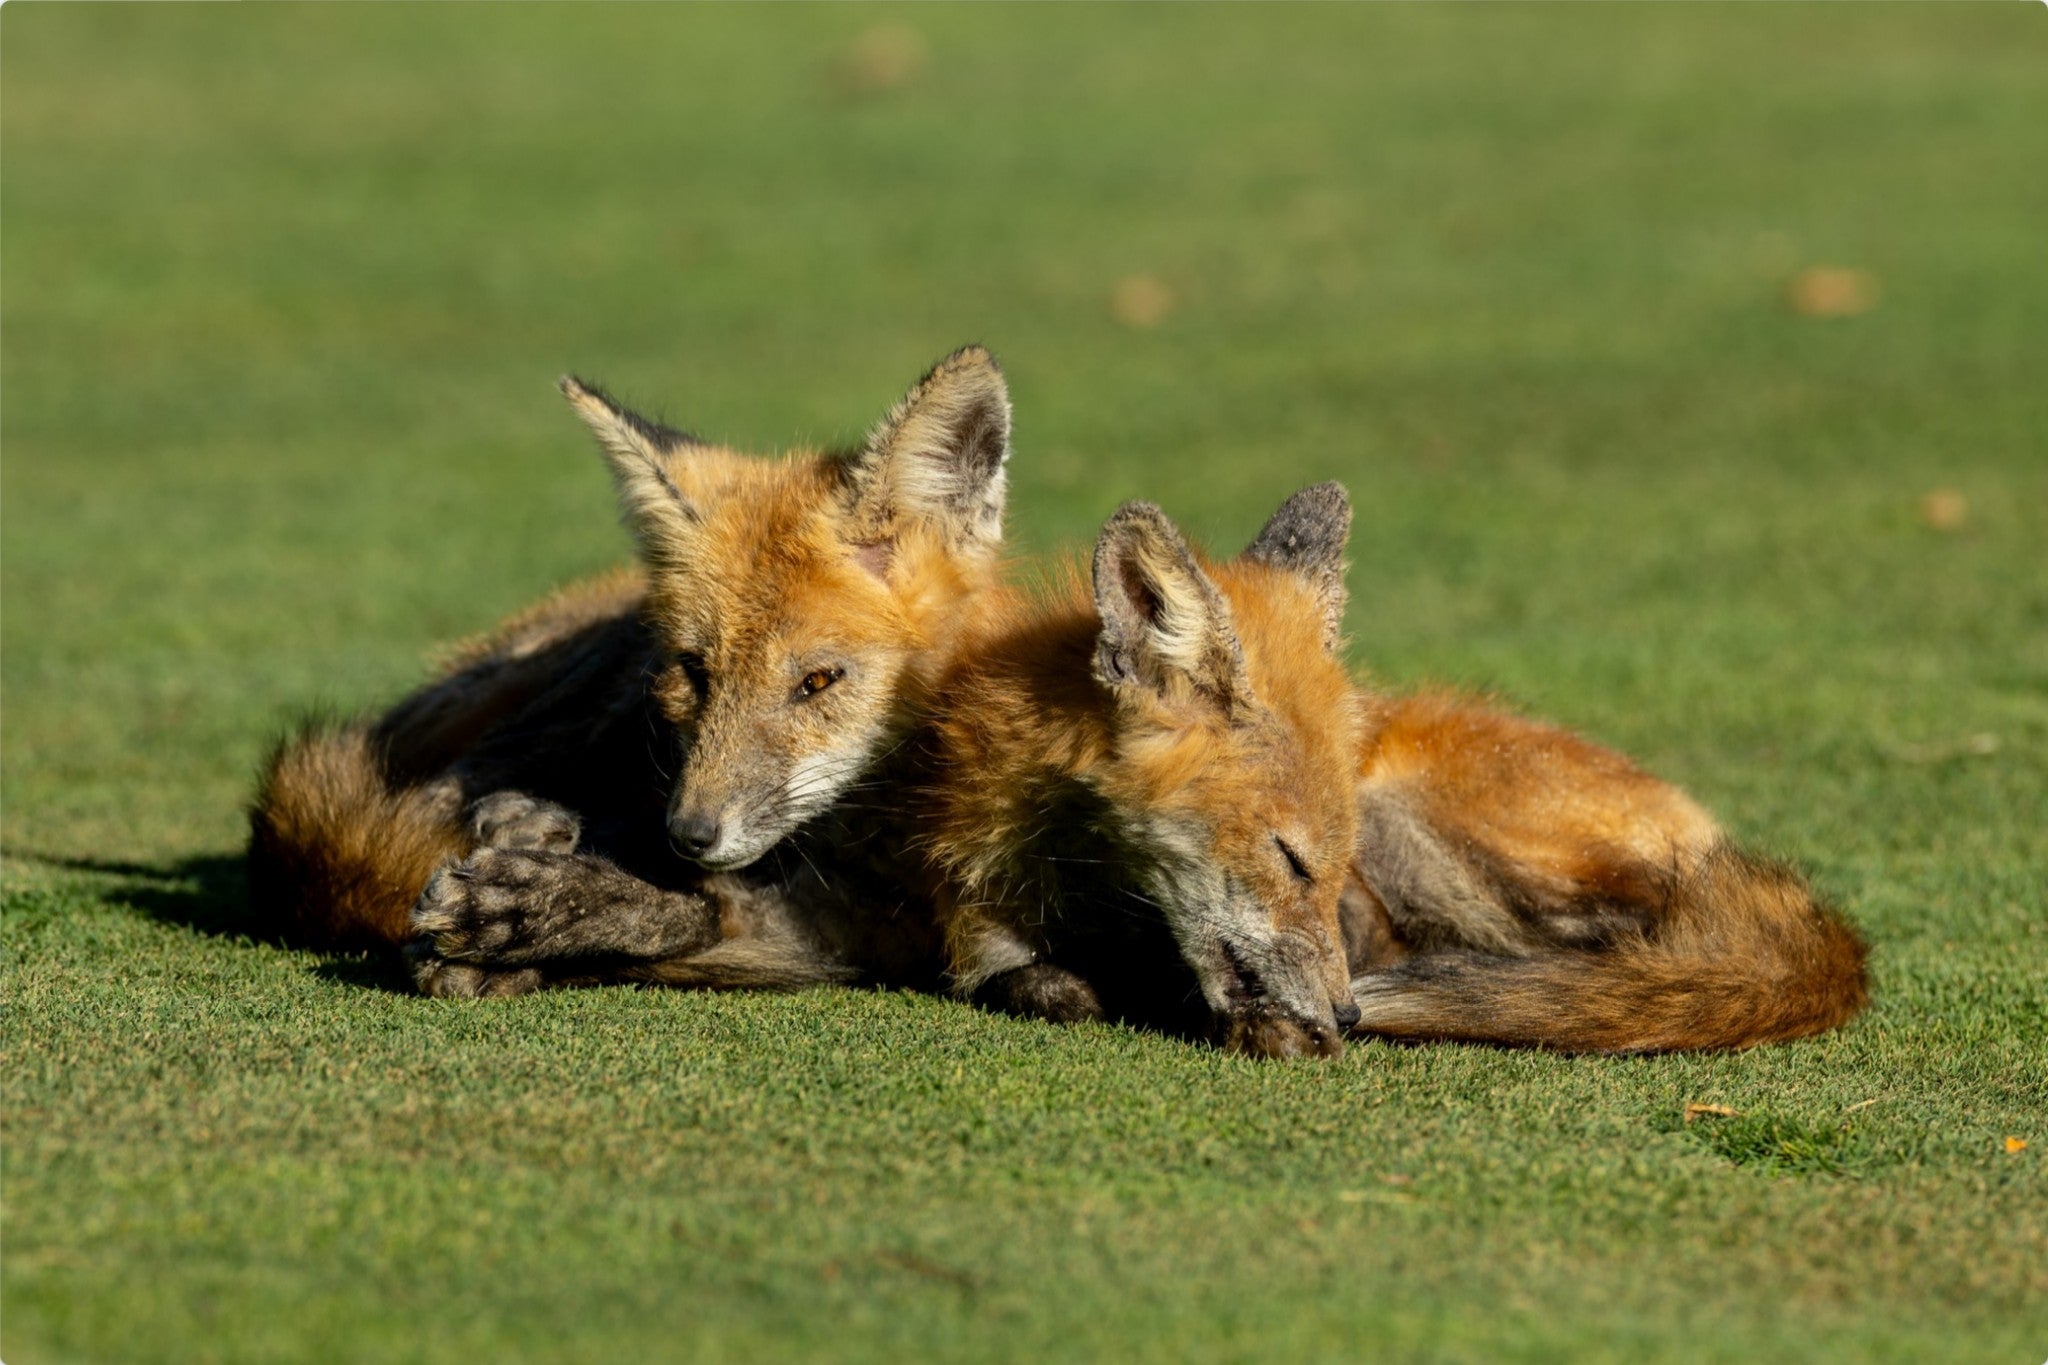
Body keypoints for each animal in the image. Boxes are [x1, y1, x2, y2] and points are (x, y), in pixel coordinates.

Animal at [248, 345, 1017, 965]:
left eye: (819, 680)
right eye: (695, 671)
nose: (690, 832)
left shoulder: (875, 919)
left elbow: (695, 908)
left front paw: (551, 908)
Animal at [407, 485, 1368, 1057]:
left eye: (1340, 871)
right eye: (1291, 859)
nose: (1351, 1013)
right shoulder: (835, 896)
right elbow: (678, 905)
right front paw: (526, 912)